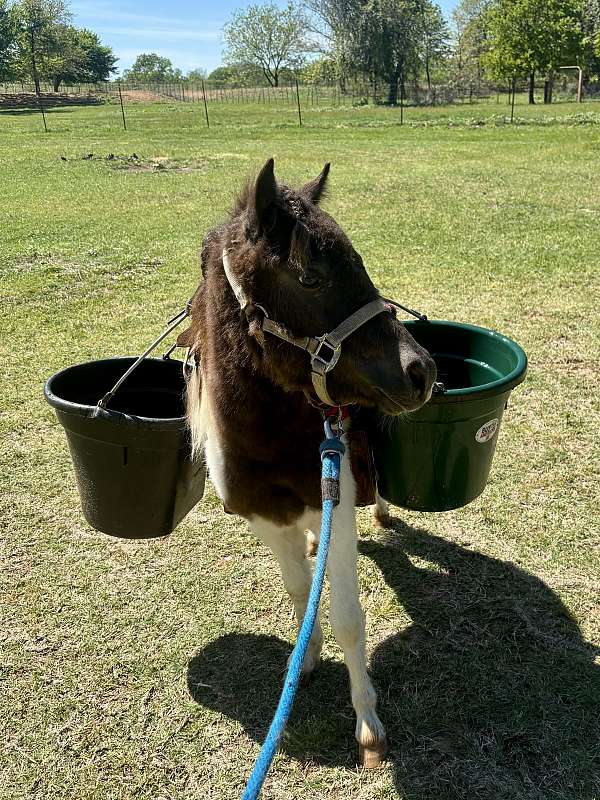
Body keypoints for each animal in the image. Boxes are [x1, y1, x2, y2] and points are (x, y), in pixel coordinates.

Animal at [181, 159, 436, 767]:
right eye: (311, 279)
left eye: (360, 263)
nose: (421, 371)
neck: (273, 439)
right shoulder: (265, 519)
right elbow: (301, 593)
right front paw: (307, 655)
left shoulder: (336, 504)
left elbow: (348, 617)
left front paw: (369, 727)